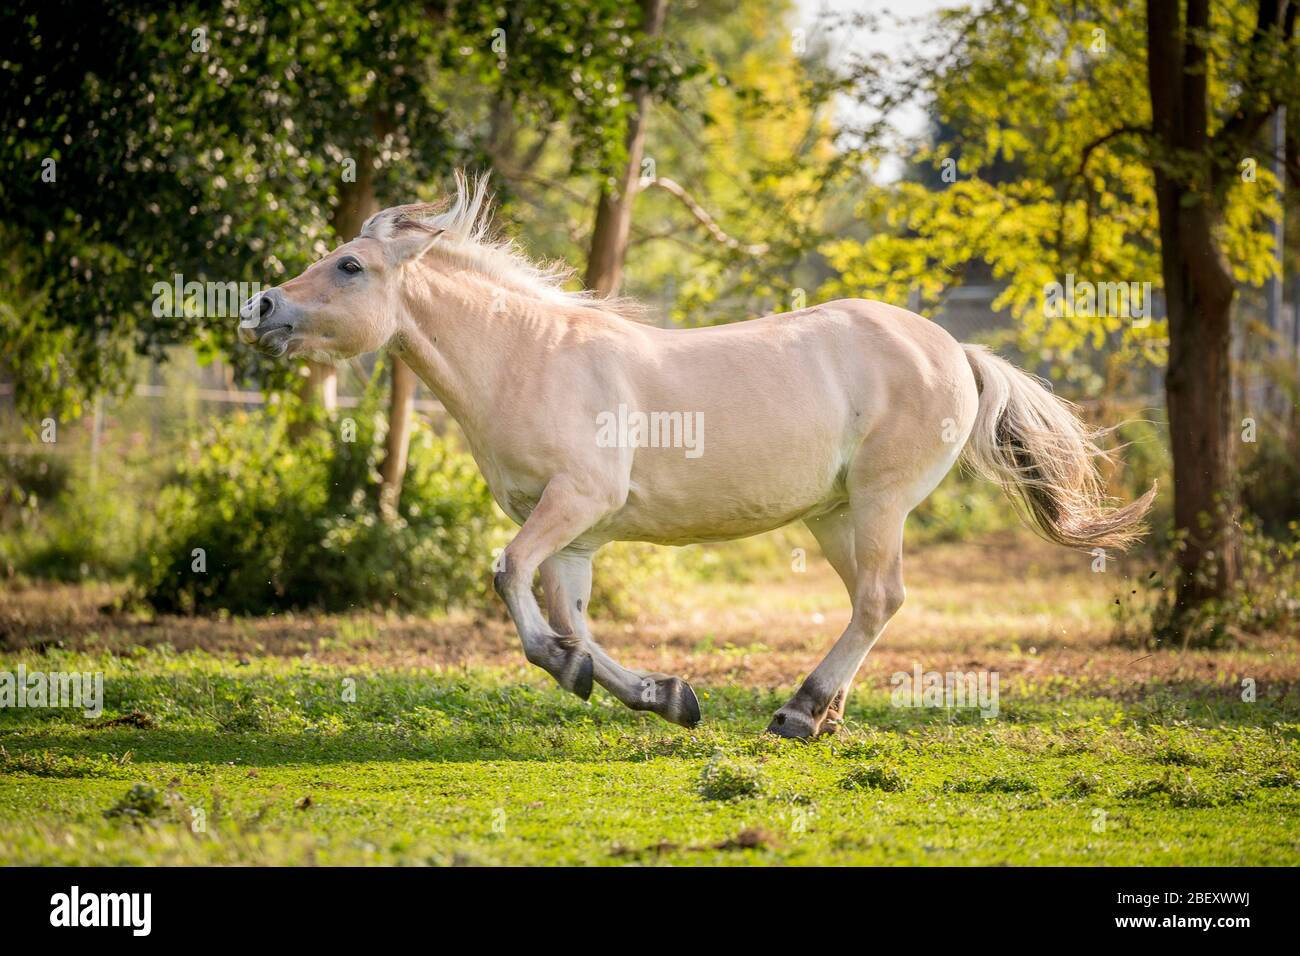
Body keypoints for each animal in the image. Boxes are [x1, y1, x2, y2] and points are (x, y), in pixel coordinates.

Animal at [239, 174, 1154, 738]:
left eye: (349, 265)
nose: (263, 307)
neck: (528, 356)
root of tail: (955, 350)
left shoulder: (574, 502)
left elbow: (512, 581)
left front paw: (577, 673)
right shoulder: (576, 534)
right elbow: (571, 614)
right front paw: (662, 696)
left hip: (879, 500)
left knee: (880, 598)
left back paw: (799, 712)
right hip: (834, 516)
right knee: (872, 601)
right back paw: (826, 716)